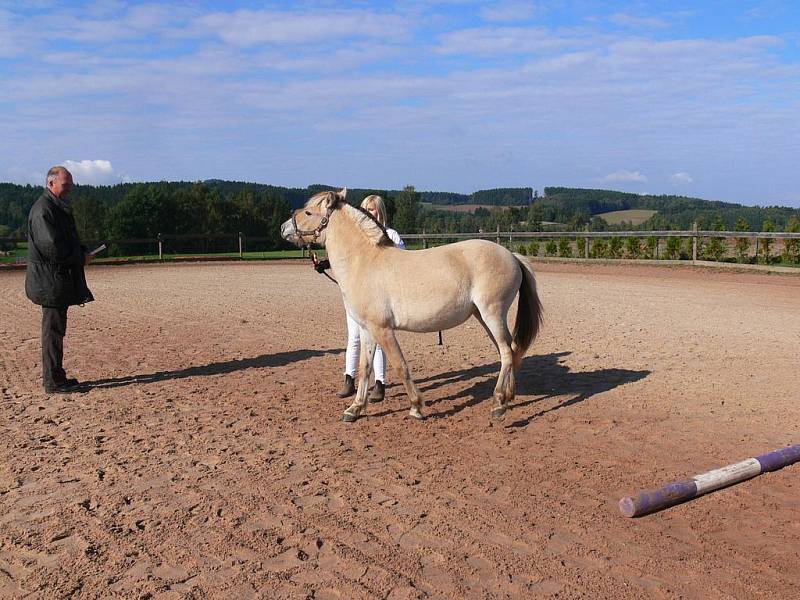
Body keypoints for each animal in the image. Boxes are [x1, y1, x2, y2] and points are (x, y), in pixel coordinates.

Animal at [282, 189, 544, 422]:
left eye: (308, 212)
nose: (283, 228)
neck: (365, 262)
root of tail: (512, 256)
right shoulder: (367, 330)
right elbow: (365, 367)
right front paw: (354, 409)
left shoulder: (383, 330)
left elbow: (400, 366)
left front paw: (416, 407)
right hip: (483, 317)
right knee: (509, 350)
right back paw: (509, 397)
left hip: (492, 314)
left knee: (507, 353)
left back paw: (499, 403)